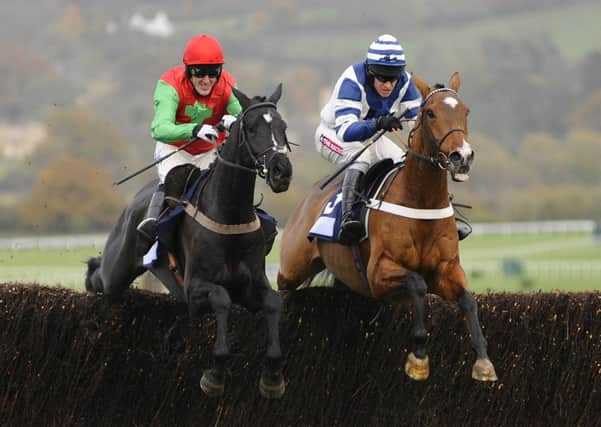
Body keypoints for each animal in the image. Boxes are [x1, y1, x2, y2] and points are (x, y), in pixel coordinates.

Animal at [85, 85, 292, 400]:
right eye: (252, 127)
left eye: (283, 127)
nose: (282, 171)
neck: (228, 215)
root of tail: (134, 201)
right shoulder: (194, 288)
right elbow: (221, 298)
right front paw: (215, 375)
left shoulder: (252, 285)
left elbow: (273, 302)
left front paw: (272, 376)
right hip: (116, 271)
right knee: (101, 277)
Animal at [276, 72, 496, 382]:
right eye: (430, 113)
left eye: (465, 111)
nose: (461, 157)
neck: (421, 203)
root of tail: (308, 198)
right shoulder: (379, 273)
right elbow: (416, 284)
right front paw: (419, 356)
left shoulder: (445, 270)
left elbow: (468, 300)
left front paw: (483, 361)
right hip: (291, 267)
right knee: (281, 292)